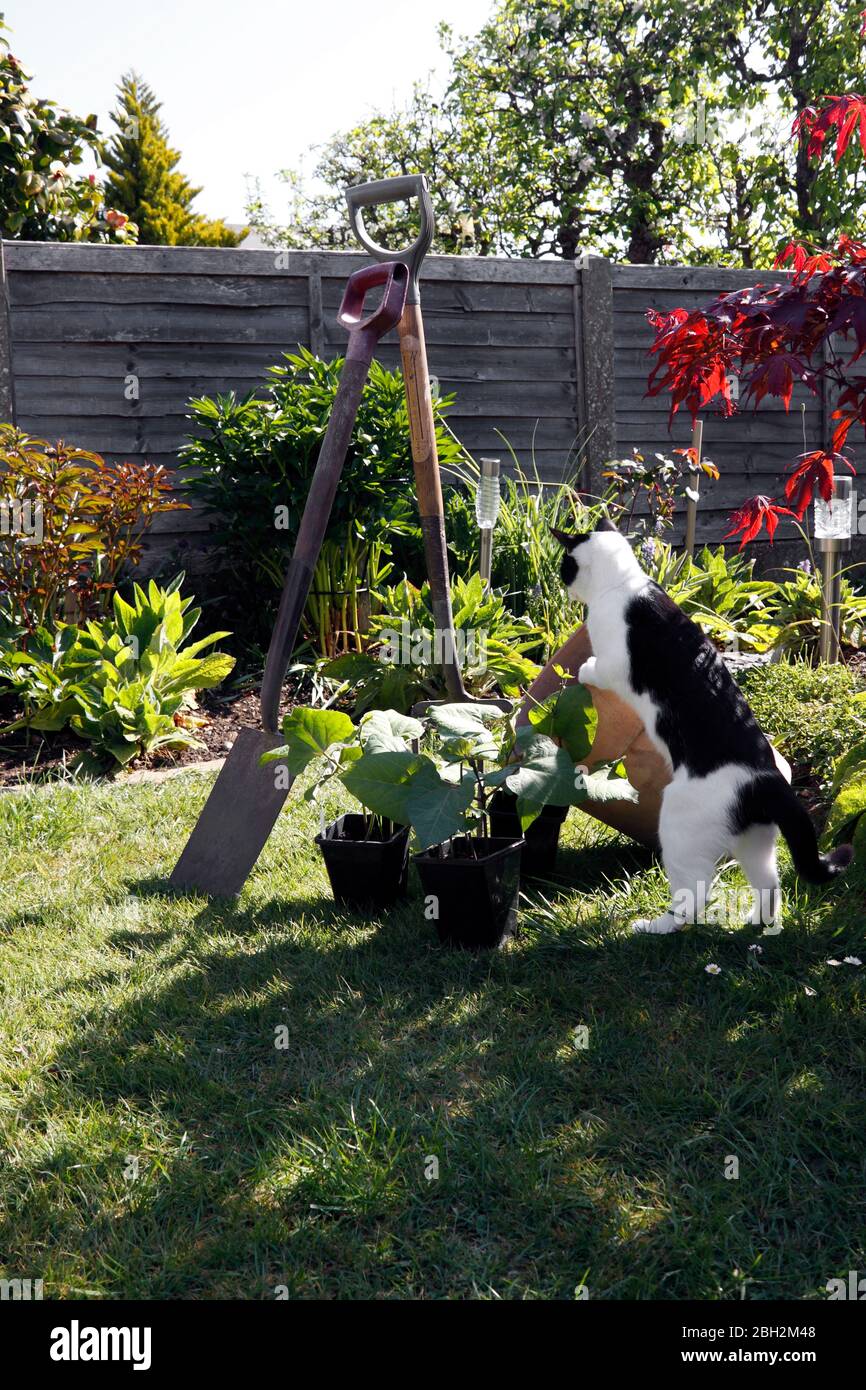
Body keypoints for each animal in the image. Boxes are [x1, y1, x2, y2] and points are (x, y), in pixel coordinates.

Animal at [553, 522, 850, 934]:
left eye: (565, 566)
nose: (562, 584)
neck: (625, 583)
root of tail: (767, 780)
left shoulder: (614, 663)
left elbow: (596, 668)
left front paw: (583, 669)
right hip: (754, 842)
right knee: (769, 884)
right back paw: (756, 922)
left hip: (679, 828)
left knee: (692, 894)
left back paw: (656, 927)